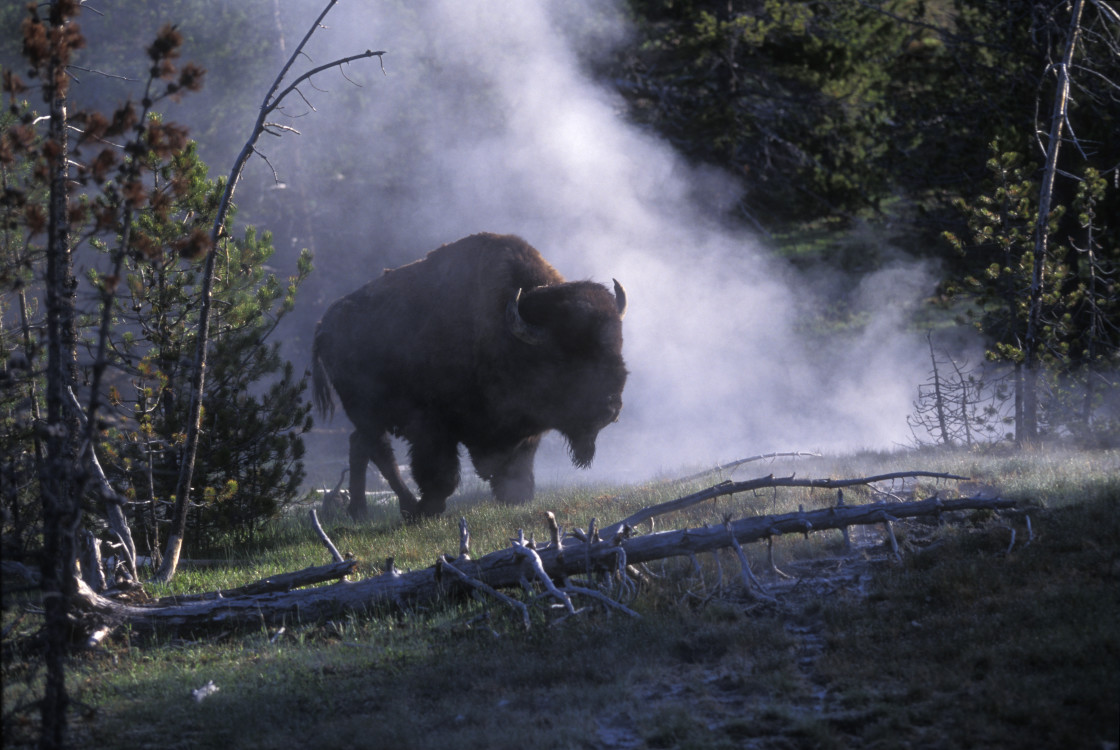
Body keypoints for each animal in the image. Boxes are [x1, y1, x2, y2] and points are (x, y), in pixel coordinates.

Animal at [313, 231, 631, 519]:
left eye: (618, 346)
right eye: (566, 356)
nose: (611, 408)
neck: (507, 334)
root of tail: (324, 324)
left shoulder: (525, 430)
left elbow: (517, 467)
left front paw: (514, 497)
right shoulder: (431, 425)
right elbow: (441, 475)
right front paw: (429, 509)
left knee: (360, 445)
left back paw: (361, 510)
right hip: (366, 410)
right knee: (379, 451)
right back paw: (400, 508)